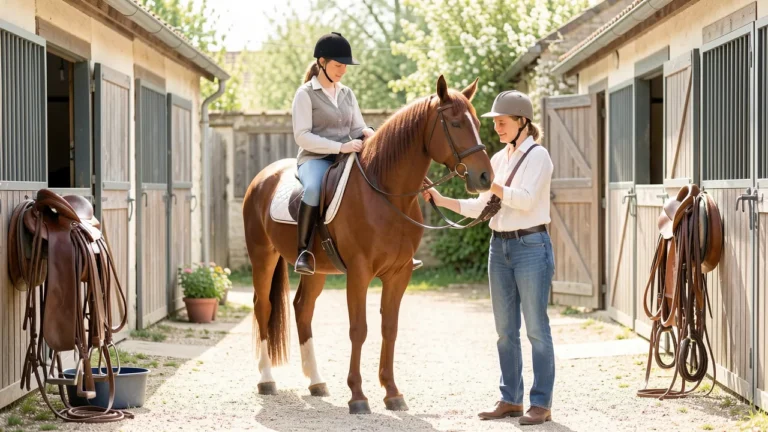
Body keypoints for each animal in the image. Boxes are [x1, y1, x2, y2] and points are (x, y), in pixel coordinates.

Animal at [242, 75, 494, 414]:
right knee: (263, 307)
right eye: (454, 123)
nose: (485, 177)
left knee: (302, 309)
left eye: (477, 122)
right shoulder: (359, 273)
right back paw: (267, 379)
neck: (385, 192)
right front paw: (358, 395)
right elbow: (359, 330)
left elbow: (390, 328)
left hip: (316, 270)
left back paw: (316, 382)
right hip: (262, 257)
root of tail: (262, 177)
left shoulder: (399, 274)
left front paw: (392, 393)